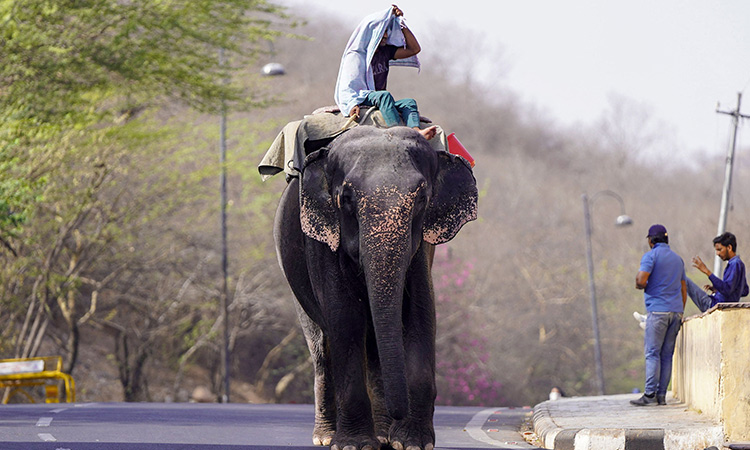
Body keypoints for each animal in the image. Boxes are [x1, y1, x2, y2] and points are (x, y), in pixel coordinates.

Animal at [273, 125, 477, 450]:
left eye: (422, 199)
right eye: (345, 198)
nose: (398, 413)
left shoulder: (421, 250)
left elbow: (420, 315)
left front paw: (411, 443)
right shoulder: (323, 242)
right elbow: (345, 318)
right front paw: (353, 445)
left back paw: (381, 435)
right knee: (321, 347)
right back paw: (327, 437)